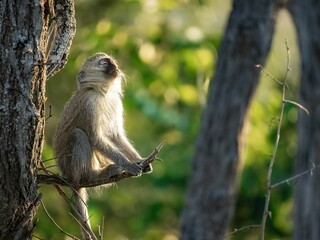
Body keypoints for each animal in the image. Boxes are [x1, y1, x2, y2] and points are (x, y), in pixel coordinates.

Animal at [52, 53, 151, 240]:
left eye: (112, 61)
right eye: (104, 63)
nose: (115, 67)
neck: (102, 93)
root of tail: (69, 177)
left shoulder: (115, 102)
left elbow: (115, 136)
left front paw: (141, 161)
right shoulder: (89, 104)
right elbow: (96, 138)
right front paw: (130, 165)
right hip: (71, 167)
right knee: (79, 134)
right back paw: (93, 175)